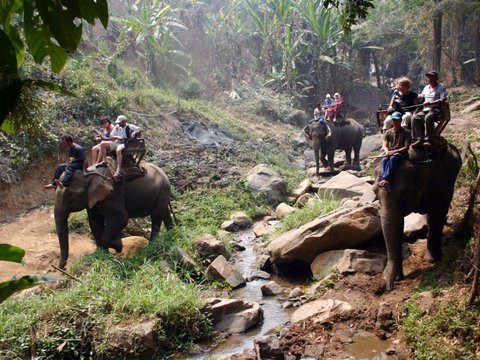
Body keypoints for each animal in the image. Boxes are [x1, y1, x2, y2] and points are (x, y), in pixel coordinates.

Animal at [376, 142, 462, 292]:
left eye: (403, 194)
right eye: (375, 194)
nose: (388, 288)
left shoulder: (437, 181)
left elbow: (436, 212)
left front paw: (433, 259)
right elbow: (398, 223)